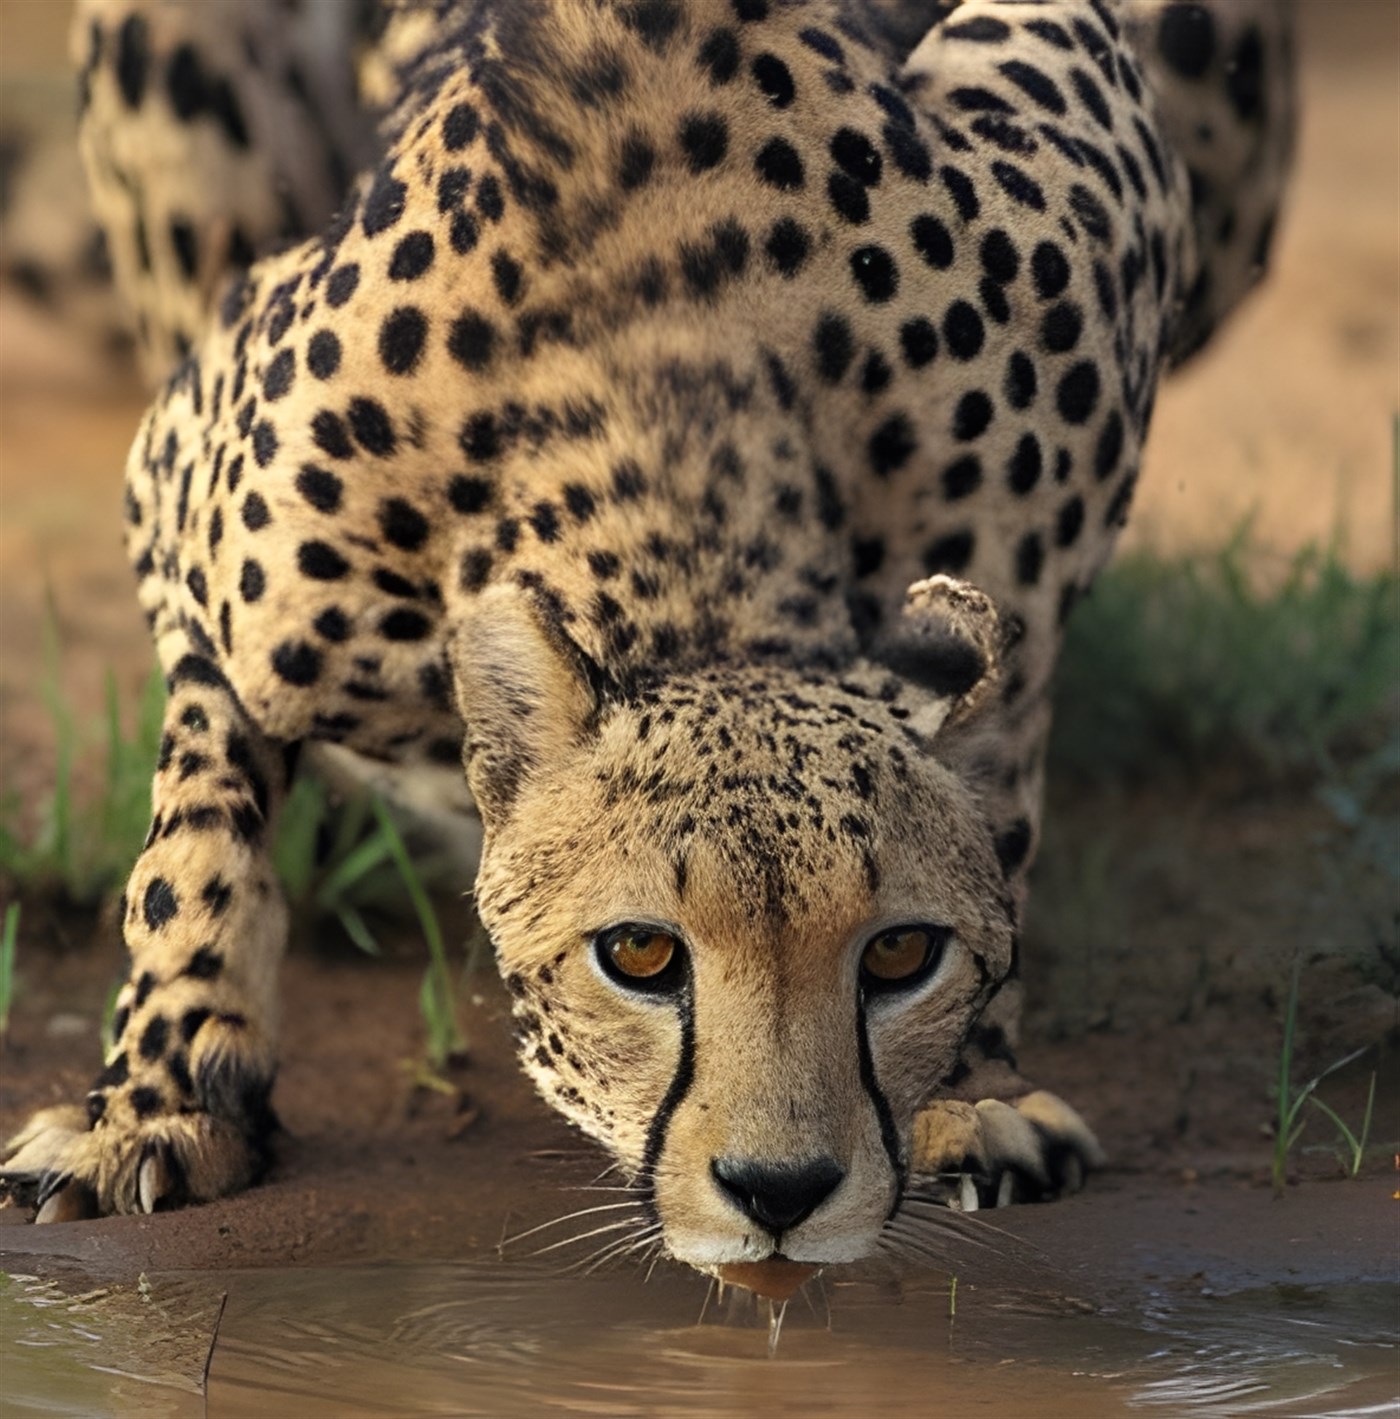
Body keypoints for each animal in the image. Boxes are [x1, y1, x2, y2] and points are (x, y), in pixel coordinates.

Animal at [1, 0, 1294, 1290]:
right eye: (637, 955)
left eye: (897, 957)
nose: (780, 1190)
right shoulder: (179, 510)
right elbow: (191, 845)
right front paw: (160, 1104)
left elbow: (1002, 802)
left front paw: (969, 1095)